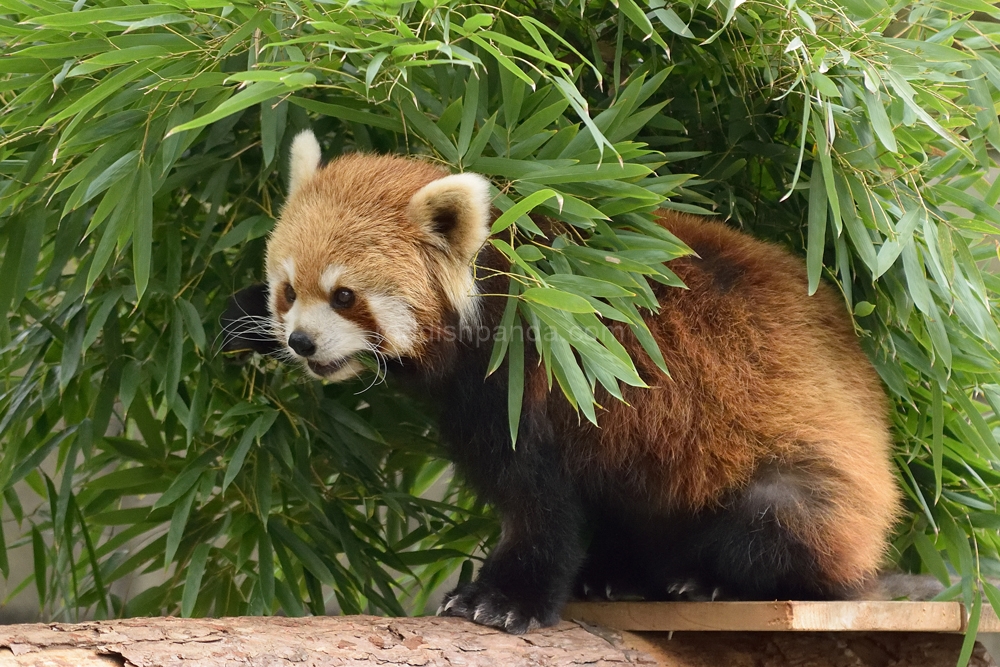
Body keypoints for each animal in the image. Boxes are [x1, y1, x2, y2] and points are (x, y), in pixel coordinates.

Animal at [225, 130, 900, 636]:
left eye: (345, 296)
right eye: (288, 290)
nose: (301, 342)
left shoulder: (530, 380)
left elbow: (537, 501)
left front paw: (501, 600)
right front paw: (244, 318)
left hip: (801, 483)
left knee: (780, 527)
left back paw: (706, 582)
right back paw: (615, 574)